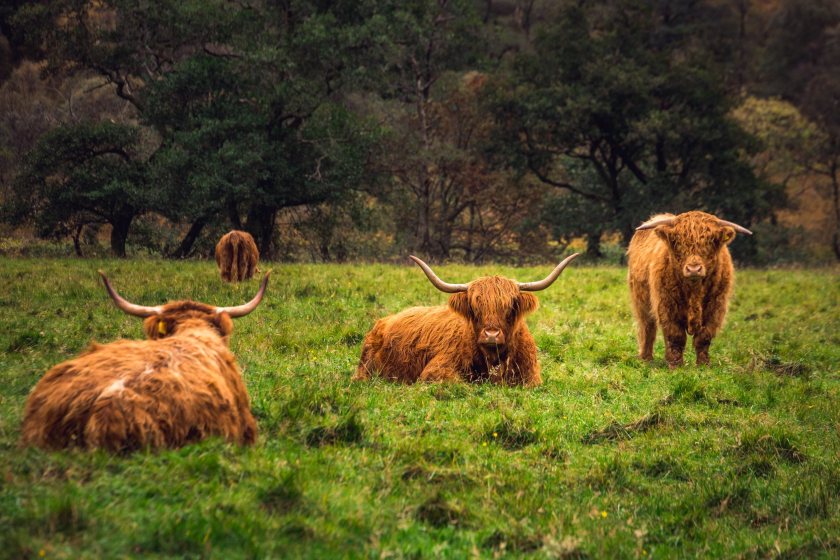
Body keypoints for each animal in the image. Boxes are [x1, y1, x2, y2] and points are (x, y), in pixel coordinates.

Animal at [352, 256, 576, 388]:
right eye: (475, 308)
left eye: (509, 306)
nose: (491, 335)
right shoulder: (435, 371)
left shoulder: (532, 378)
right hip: (366, 370)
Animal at [624, 210, 756, 368]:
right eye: (678, 241)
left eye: (710, 241)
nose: (694, 269)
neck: (694, 291)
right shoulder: (666, 305)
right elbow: (675, 336)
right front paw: (676, 365)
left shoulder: (716, 307)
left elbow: (704, 337)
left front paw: (703, 365)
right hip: (641, 302)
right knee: (647, 327)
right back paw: (646, 358)